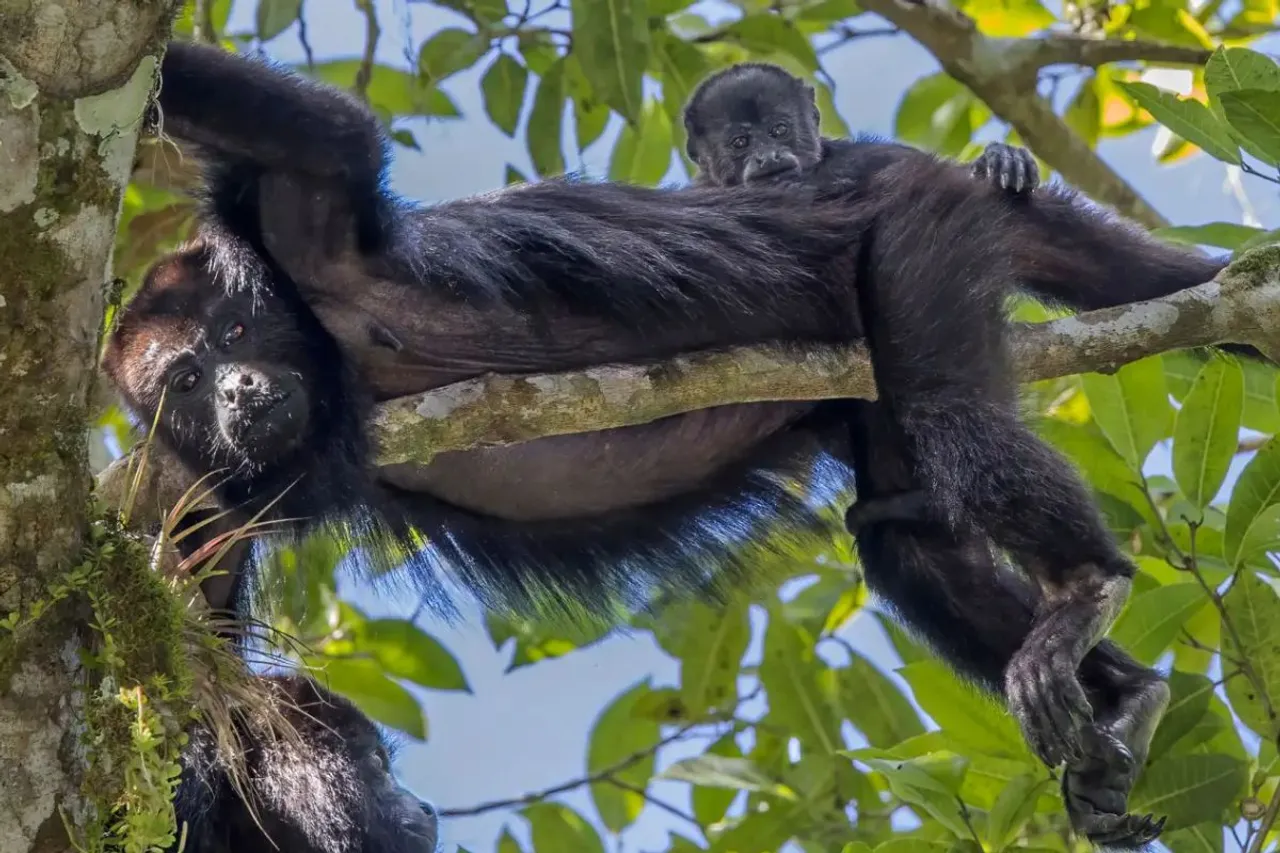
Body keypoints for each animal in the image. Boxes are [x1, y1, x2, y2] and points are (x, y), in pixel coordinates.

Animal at [107, 41, 1228, 845]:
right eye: (184, 382)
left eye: (236, 333)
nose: (241, 389)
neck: (322, 348)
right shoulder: (196, 498)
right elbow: (202, 691)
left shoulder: (310, 243)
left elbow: (327, 135)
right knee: (903, 530)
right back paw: (1124, 698)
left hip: (916, 225)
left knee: (952, 412)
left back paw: (1085, 586)